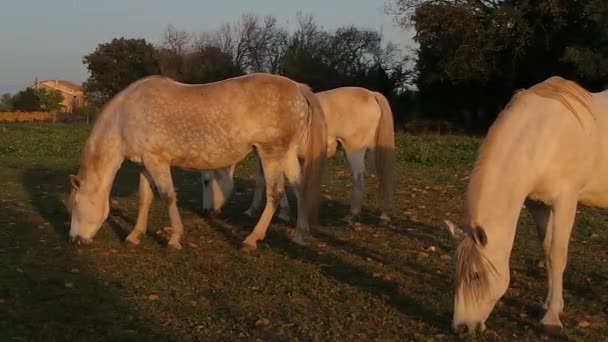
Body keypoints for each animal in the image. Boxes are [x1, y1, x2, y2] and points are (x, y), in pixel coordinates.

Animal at [66, 73, 328, 251]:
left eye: (75, 204)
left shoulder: (158, 162)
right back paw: (299, 236)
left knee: (275, 194)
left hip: (271, 153)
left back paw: (252, 239)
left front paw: (174, 239)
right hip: (286, 154)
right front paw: (135, 235)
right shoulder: (145, 164)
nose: (75, 240)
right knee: (299, 188)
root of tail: (298, 88)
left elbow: (167, 196)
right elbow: (145, 199)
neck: (125, 116)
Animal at [200, 86, 396, 224]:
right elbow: (262, 182)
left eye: (206, 181)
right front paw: (254, 210)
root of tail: (371, 94)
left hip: (354, 150)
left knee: (359, 179)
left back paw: (351, 216)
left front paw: (282, 214)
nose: (205, 212)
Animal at [442, 76, 608, 336]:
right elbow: (547, 251)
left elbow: (557, 255)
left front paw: (551, 318)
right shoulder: (537, 204)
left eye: (476, 276)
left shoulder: (565, 202)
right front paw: (549, 305)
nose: (461, 328)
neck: (544, 136)